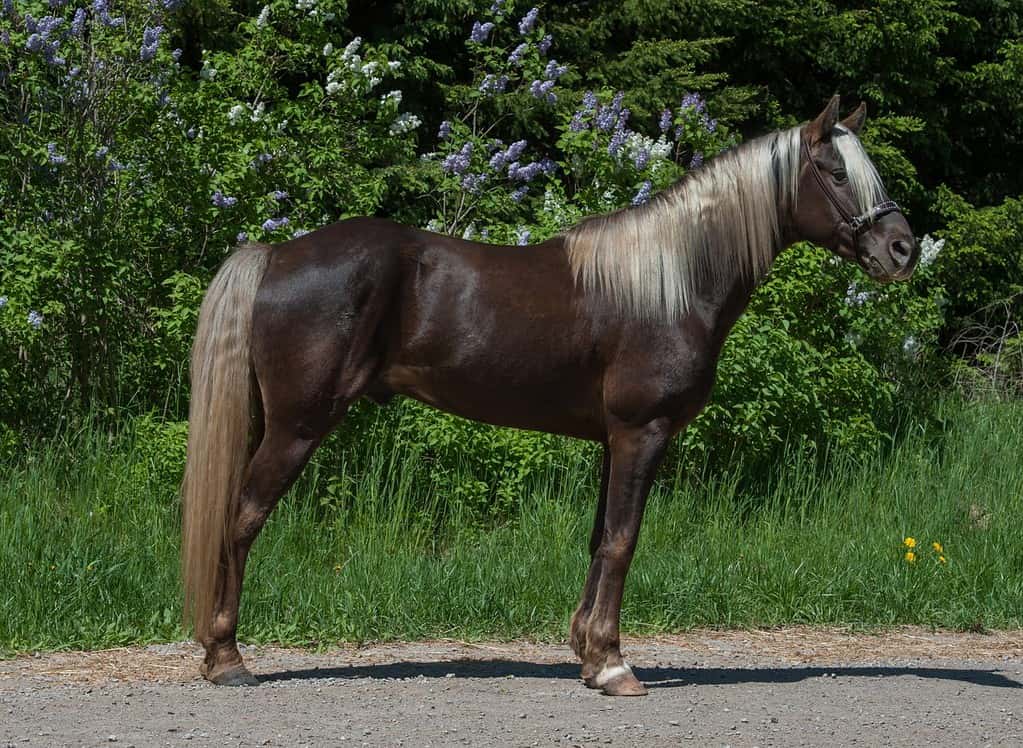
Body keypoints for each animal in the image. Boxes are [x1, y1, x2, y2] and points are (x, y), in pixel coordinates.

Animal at [182, 96, 920, 699]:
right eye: (833, 172)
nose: (901, 249)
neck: (671, 280)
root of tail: (276, 254)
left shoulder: (611, 440)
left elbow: (599, 539)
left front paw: (588, 655)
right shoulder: (641, 431)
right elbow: (623, 540)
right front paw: (615, 666)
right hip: (297, 427)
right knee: (242, 519)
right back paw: (226, 658)